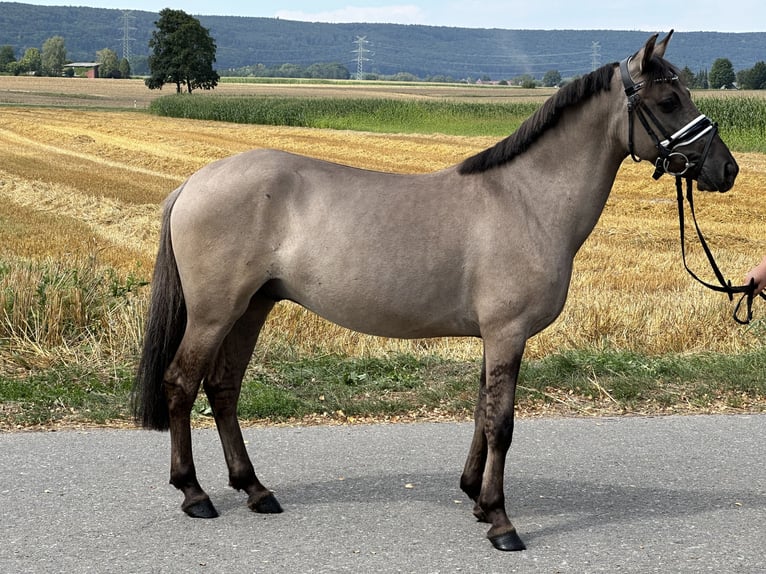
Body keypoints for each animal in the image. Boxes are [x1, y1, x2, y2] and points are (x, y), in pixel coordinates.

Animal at [135, 32, 740, 552]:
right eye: (668, 99)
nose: (727, 169)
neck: (526, 199)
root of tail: (193, 182)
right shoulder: (507, 333)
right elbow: (501, 423)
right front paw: (501, 521)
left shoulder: (496, 337)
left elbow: (481, 412)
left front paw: (476, 497)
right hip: (215, 312)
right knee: (182, 383)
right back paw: (195, 493)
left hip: (252, 308)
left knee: (223, 388)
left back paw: (255, 490)